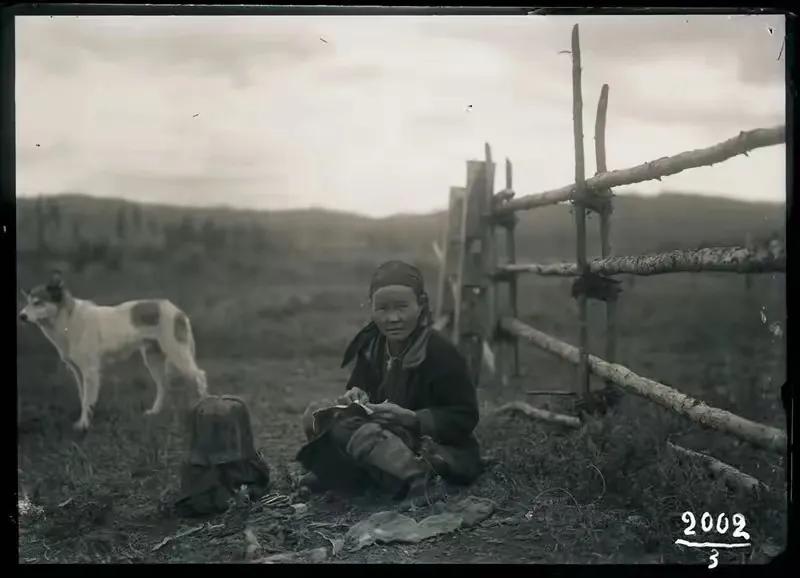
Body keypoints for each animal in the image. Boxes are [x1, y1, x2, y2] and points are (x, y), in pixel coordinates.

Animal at [21, 270, 209, 428]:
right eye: (28, 302)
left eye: (38, 303)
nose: (21, 316)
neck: (68, 319)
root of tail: (176, 310)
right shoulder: (78, 372)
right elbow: (82, 398)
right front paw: (82, 422)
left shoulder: (90, 372)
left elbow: (87, 401)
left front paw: (84, 425)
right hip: (152, 360)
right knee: (163, 386)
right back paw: (154, 412)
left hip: (178, 355)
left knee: (199, 376)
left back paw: (204, 406)